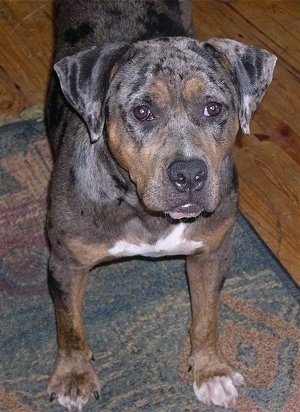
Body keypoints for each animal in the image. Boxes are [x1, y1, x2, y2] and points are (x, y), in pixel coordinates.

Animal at [47, 1, 276, 410]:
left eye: (214, 108)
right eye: (142, 112)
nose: (189, 174)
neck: (143, 211)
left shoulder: (211, 253)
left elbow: (206, 318)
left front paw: (211, 371)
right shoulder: (65, 263)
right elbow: (70, 325)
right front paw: (74, 377)